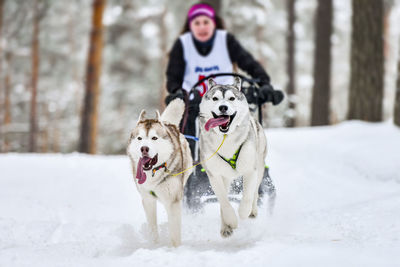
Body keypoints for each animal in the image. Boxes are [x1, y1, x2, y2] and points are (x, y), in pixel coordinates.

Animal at [126, 99, 192, 247]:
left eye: (154, 138)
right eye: (139, 138)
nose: (144, 149)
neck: (154, 173)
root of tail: (168, 123)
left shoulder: (173, 200)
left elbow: (175, 233)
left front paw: (176, 249)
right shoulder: (148, 200)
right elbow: (152, 229)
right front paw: (154, 245)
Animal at [198, 78, 268, 239]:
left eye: (231, 98)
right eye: (215, 98)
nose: (223, 107)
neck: (226, 139)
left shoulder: (250, 170)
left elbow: (248, 195)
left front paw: (243, 212)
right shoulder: (215, 175)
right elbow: (224, 202)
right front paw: (231, 221)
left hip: (260, 168)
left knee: (255, 192)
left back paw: (252, 211)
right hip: (225, 177)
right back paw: (225, 227)